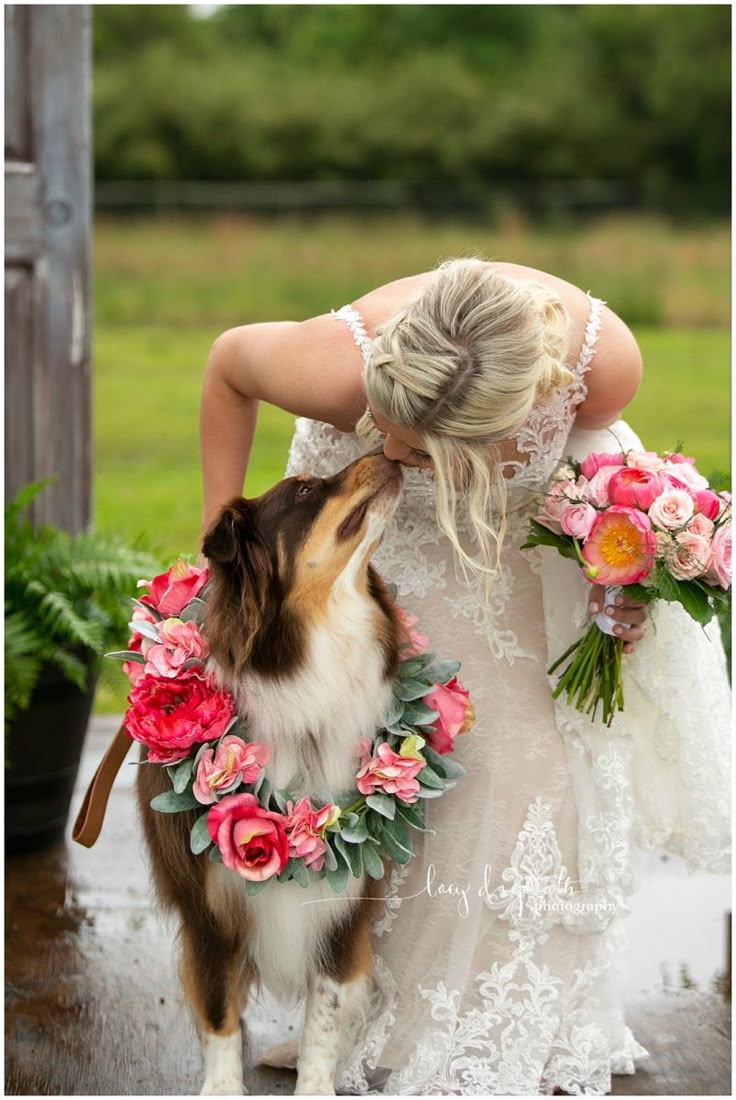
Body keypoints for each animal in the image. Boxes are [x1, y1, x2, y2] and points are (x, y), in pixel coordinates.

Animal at [135, 453, 404, 1091]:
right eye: (305, 490)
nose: (389, 450)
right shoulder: (207, 909)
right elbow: (218, 1014)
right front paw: (221, 1088)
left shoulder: (344, 904)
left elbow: (325, 1014)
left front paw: (315, 1084)